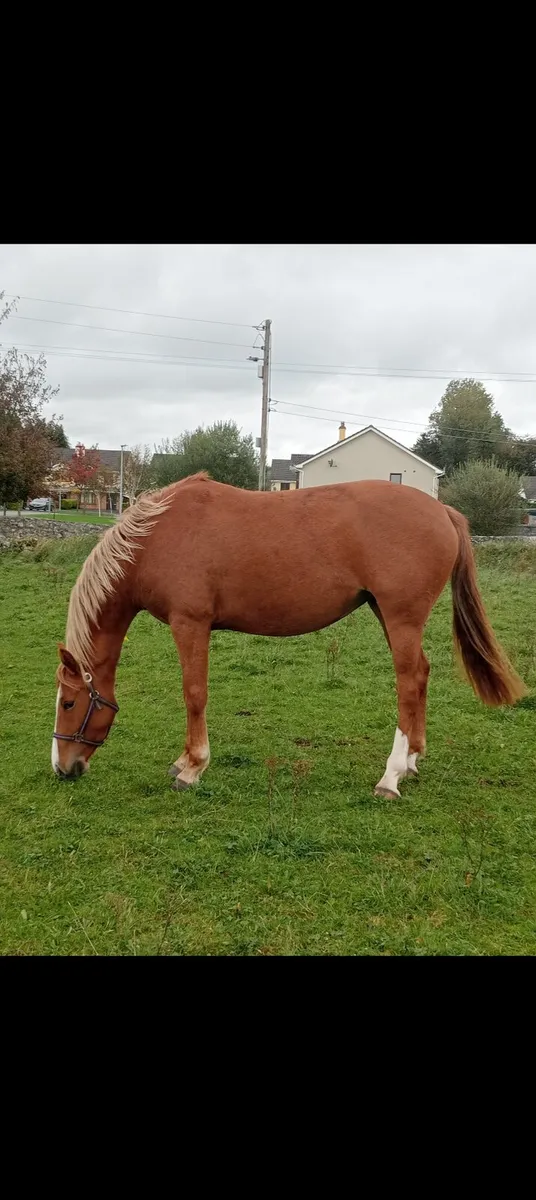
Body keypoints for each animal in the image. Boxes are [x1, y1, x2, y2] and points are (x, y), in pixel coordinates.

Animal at [51, 473, 526, 798]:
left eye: (69, 703)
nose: (62, 767)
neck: (157, 537)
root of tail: (442, 510)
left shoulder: (191, 623)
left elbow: (194, 693)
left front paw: (193, 766)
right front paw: (185, 761)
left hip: (400, 616)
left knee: (408, 682)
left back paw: (390, 776)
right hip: (387, 613)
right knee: (422, 675)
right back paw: (411, 760)